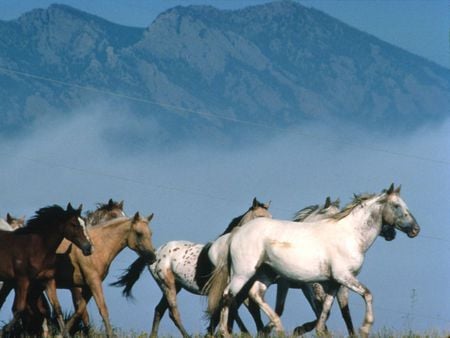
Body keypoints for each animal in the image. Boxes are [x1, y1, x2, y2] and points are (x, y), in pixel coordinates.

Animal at [0, 205, 92, 334]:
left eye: (83, 222)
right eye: (74, 224)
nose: (88, 248)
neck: (37, 248)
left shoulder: (48, 280)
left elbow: (57, 309)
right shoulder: (23, 280)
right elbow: (19, 309)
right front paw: (4, 330)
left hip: (8, 282)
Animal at [110, 197, 272, 336]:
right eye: (259, 217)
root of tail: (156, 252)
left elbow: (244, 314)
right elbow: (227, 315)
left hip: (175, 286)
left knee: (159, 310)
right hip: (167, 284)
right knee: (173, 312)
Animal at [209, 185, 420, 338]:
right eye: (396, 206)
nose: (416, 229)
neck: (349, 235)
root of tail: (236, 233)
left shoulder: (333, 283)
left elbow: (327, 309)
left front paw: (317, 330)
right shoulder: (341, 278)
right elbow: (367, 294)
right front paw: (365, 328)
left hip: (264, 274)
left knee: (255, 296)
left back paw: (277, 327)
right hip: (243, 273)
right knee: (228, 297)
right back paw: (226, 333)